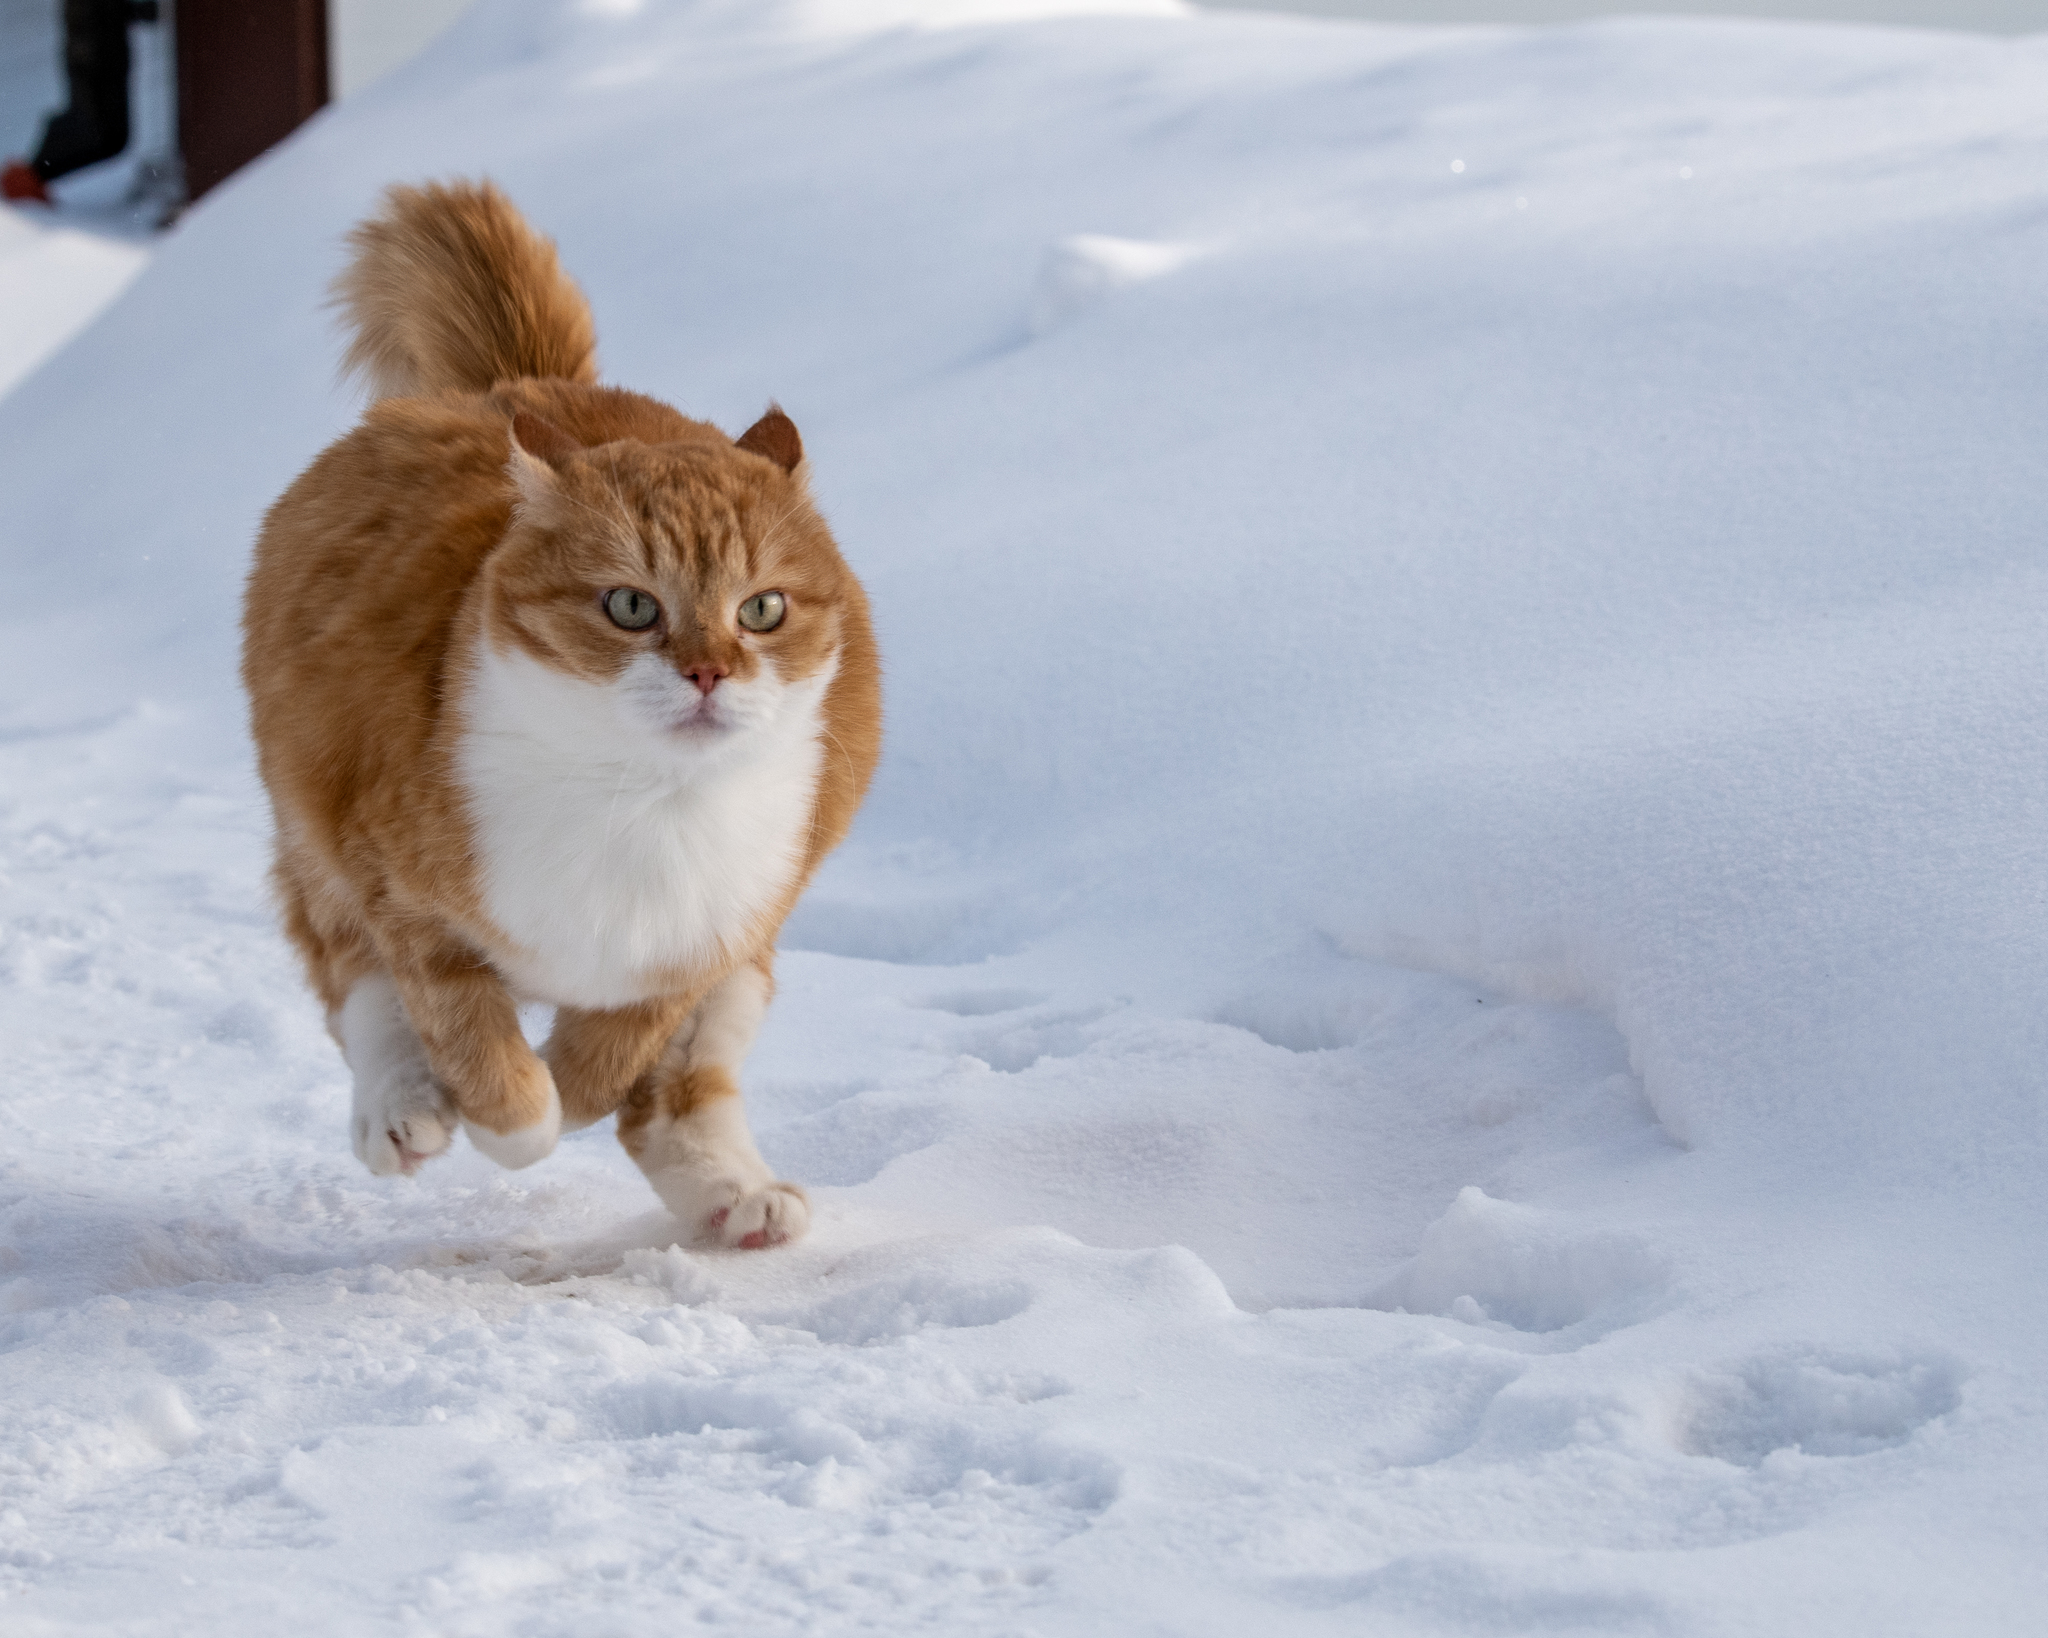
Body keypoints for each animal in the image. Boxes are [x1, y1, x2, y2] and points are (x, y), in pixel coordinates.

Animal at [239, 179, 880, 1244]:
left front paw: (576, 1086)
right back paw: (402, 1109)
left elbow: (615, 1063)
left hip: (752, 951)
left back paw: (737, 1198)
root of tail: (516, 378)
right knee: (353, 979)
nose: (708, 671)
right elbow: (482, 1051)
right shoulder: (402, 891)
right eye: (630, 605)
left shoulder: (707, 937)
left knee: (679, 1095)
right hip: (314, 819)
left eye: (763, 609)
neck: (645, 806)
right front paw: (507, 1117)